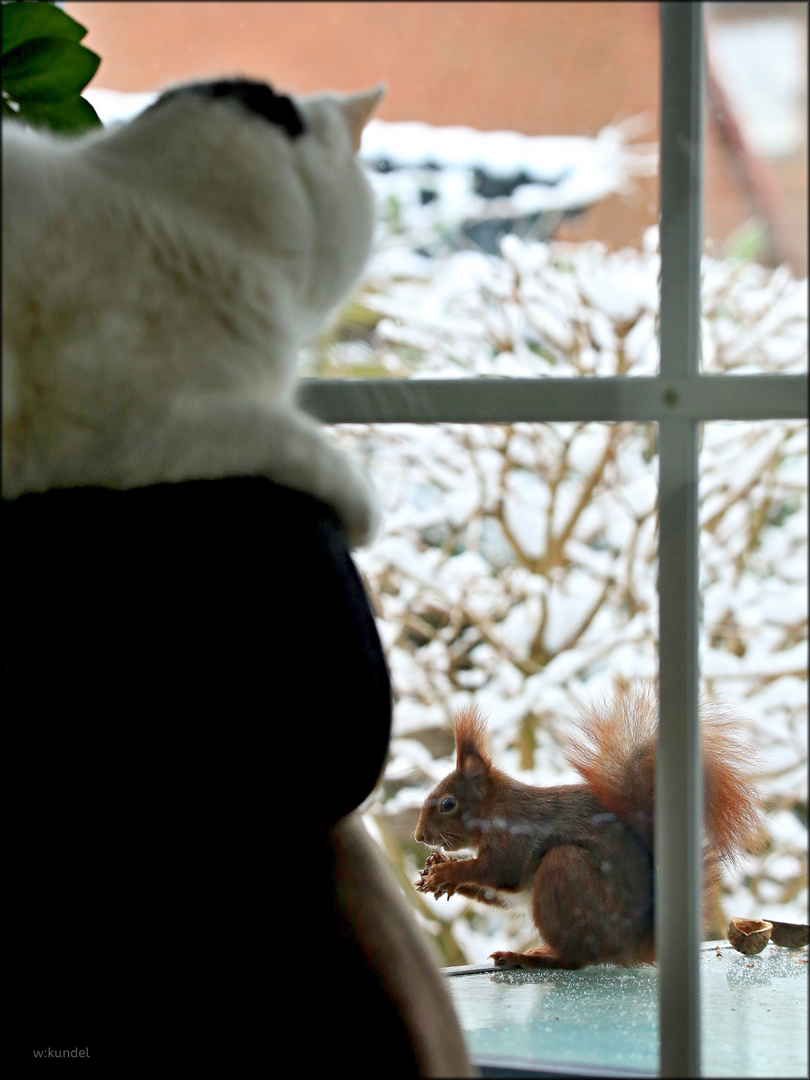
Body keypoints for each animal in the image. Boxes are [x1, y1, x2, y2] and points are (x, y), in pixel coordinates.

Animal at [414, 682, 764, 972]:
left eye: (448, 804)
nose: (419, 837)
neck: (495, 810)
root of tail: (633, 947)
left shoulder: (515, 837)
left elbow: (499, 870)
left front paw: (447, 872)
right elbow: (493, 890)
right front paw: (436, 871)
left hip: (565, 874)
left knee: (575, 959)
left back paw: (528, 957)